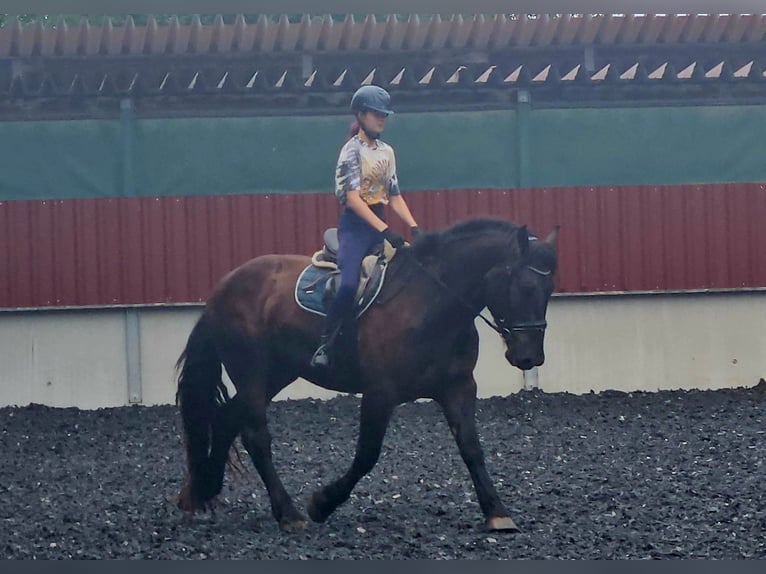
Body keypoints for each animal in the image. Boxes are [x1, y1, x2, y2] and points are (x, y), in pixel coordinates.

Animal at [177, 218, 560, 532]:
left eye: (548, 291)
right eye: (526, 287)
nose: (530, 357)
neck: (432, 304)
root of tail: (224, 286)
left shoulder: (458, 387)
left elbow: (471, 447)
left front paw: (497, 512)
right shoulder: (380, 392)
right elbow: (367, 454)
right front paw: (322, 503)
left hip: (278, 371)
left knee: (227, 419)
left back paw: (207, 488)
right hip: (251, 370)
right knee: (256, 435)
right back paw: (289, 513)